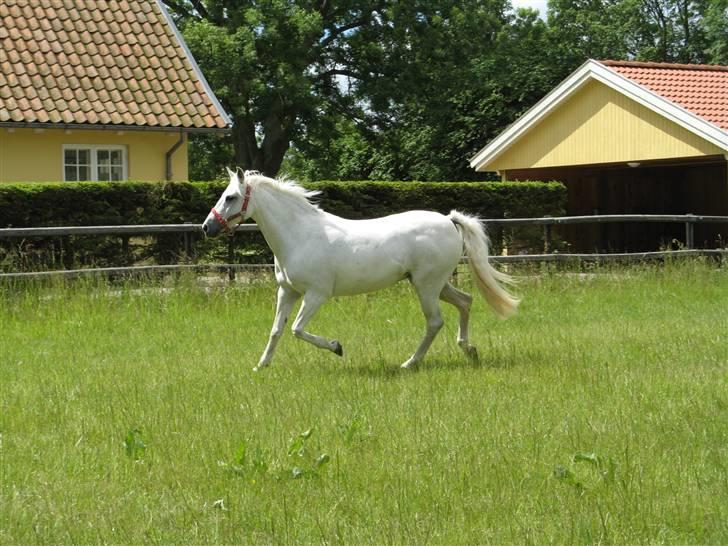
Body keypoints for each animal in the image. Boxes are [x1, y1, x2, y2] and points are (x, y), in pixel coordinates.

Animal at [200, 168, 516, 368]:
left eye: (230, 197)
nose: (207, 227)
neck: (300, 235)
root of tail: (449, 220)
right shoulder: (287, 291)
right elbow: (277, 330)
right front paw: (261, 365)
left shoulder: (316, 294)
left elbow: (298, 329)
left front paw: (337, 347)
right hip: (435, 284)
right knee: (466, 301)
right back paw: (469, 350)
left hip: (427, 286)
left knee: (435, 322)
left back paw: (409, 363)